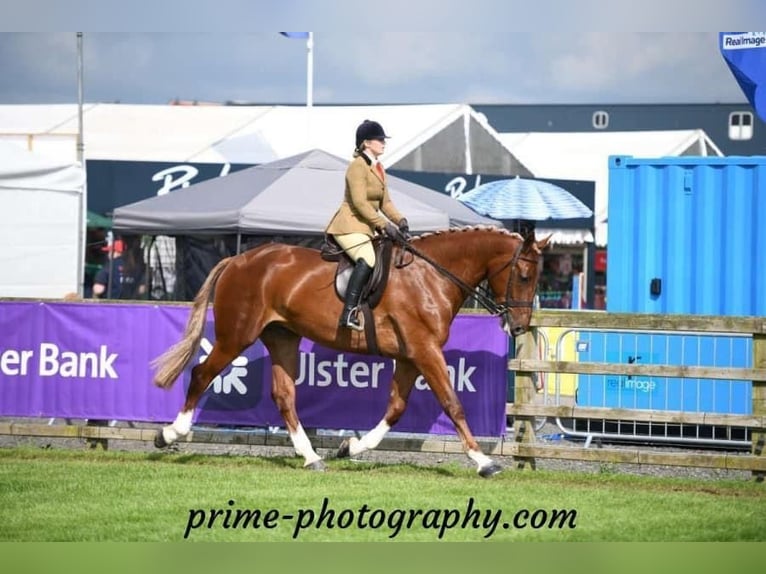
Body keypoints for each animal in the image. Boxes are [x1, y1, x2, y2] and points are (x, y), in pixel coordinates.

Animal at [152, 227, 544, 480]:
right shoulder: (425, 351)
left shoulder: (409, 356)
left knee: (283, 395)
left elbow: (396, 409)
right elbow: (453, 403)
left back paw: (311, 458)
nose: (519, 326)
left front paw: (350, 448)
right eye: (524, 276)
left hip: (282, 337)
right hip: (237, 334)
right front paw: (484, 462)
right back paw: (169, 434)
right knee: (202, 373)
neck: (431, 276)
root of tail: (237, 259)